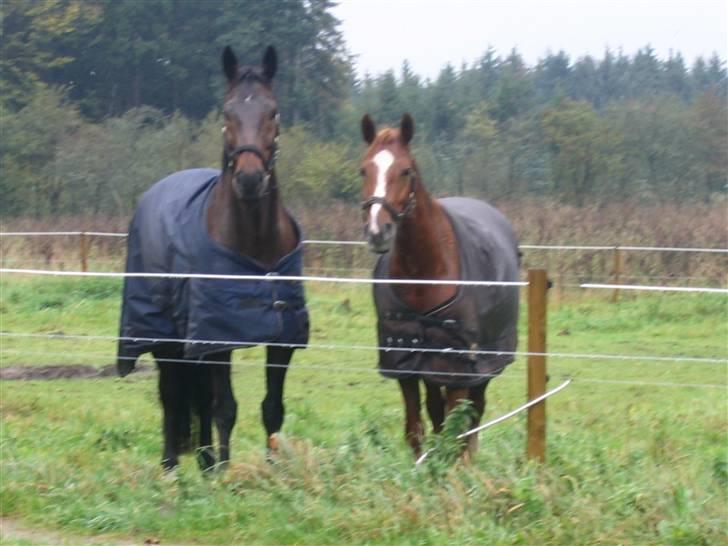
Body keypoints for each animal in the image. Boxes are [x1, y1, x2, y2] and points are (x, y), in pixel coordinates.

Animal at [116, 46, 309, 471]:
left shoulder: (282, 336)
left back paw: (204, 462)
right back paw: (173, 465)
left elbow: (272, 407)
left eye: (273, 112)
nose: (250, 179)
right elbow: (226, 407)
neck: (255, 247)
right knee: (172, 394)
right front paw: (225, 474)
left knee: (199, 396)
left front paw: (272, 470)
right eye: (227, 112)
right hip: (165, 335)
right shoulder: (218, 336)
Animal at [358, 113, 520, 458]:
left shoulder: (458, 368)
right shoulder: (406, 365)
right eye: (363, 169)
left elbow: (456, 427)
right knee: (437, 410)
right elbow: (415, 428)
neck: (423, 274)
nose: (378, 232)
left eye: (406, 170)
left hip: (482, 367)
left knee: (474, 411)